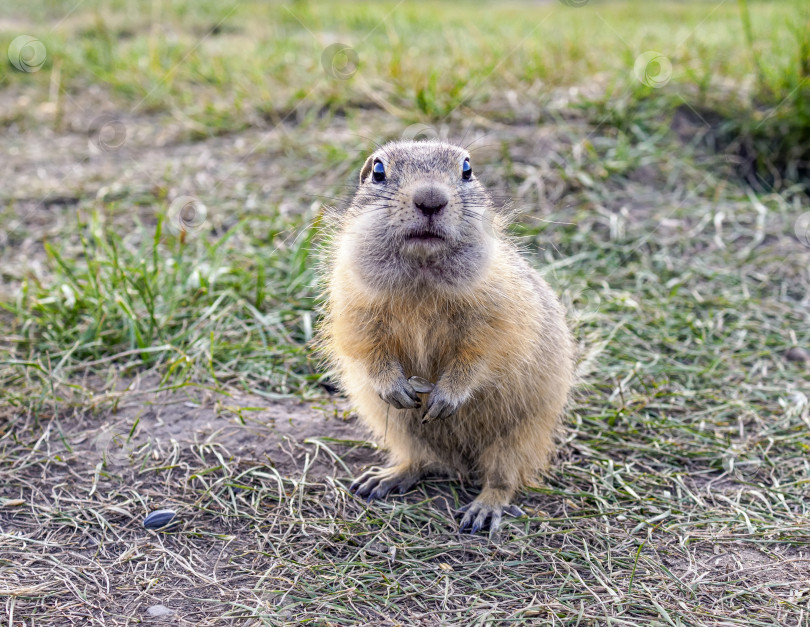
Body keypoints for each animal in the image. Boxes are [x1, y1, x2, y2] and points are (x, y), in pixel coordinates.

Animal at [316, 140, 576, 532]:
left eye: (467, 169)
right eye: (378, 171)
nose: (430, 199)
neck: (422, 277)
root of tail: (460, 465)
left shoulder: (498, 311)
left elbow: (483, 352)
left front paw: (446, 397)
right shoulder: (354, 305)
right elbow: (366, 345)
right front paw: (395, 387)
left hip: (520, 435)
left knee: (504, 478)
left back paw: (483, 510)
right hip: (401, 430)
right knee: (422, 461)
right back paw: (383, 478)